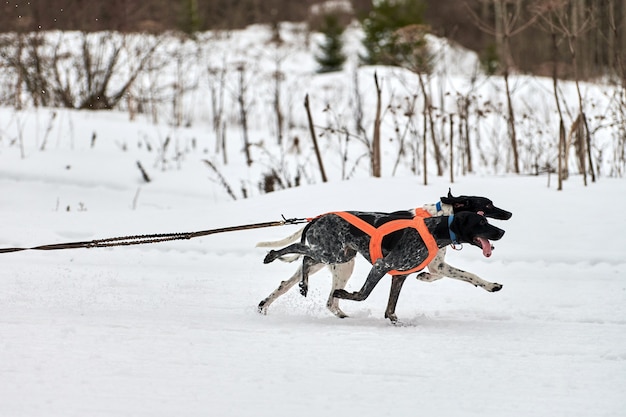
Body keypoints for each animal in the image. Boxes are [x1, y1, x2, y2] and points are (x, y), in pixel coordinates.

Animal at [256, 190, 510, 316]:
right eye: (487, 206)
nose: (508, 215)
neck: (437, 219)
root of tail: (316, 218)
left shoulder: (425, 265)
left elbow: (458, 275)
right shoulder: (396, 264)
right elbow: (462, 274)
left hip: (335, 257)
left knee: (295, 275)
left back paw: (270, 301)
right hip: (338, 259)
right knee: (317, 282)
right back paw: (272, 257)